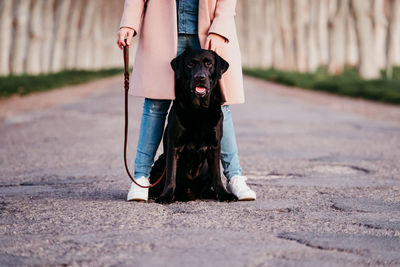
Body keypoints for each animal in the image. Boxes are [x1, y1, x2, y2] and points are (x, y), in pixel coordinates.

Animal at [150, 48, 238, 204]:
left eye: (209, 63)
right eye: (190, 65)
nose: (200, 77)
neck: (199, 111)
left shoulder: (215, 145)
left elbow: (217, 176)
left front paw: (224, 194)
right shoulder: (174, 145)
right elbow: (171, 175)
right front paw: (166, 196)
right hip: (160, 161)